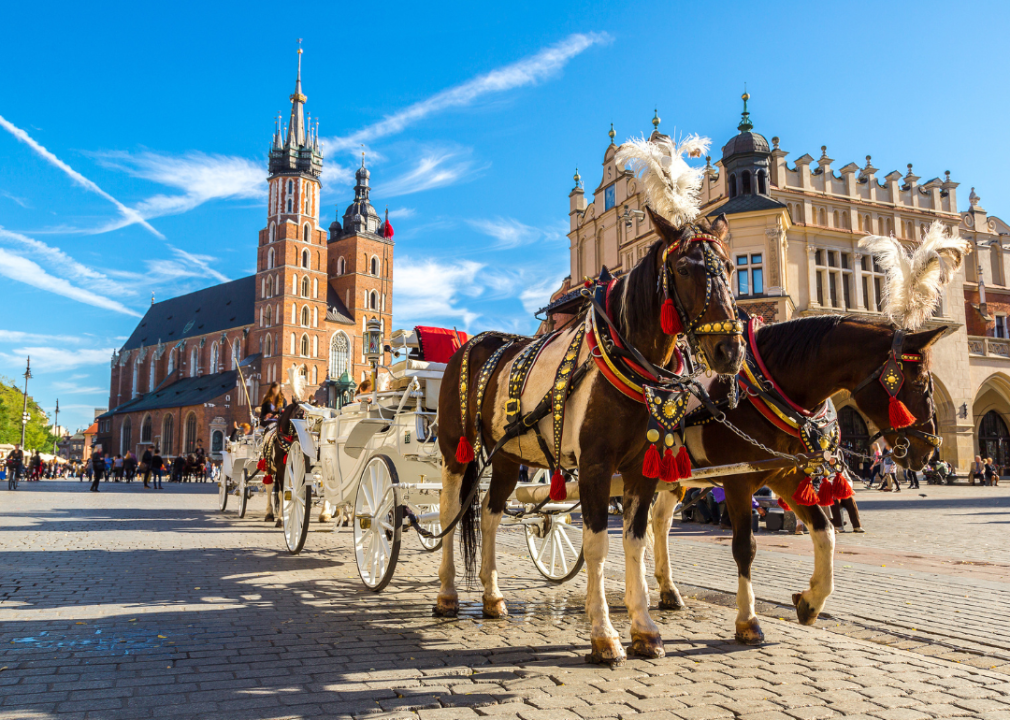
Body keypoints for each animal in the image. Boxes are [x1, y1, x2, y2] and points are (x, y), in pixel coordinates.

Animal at [438, 211, 747, 666]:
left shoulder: (641, 469)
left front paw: (644, 629)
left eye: (730, 268)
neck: (625, 360)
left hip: (508, 456)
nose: (730, 351)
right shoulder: (596, 467)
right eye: (684, 269)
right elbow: (598, 545)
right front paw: (604, 636)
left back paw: (493, 597)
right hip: (454, 449)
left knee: (491, 515)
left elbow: (635, 542)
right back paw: (446, 594)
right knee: (448, 511)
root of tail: (471, 344)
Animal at [654, 317, 945, 642]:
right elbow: (744, 547)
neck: (761, 394)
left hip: (673, 478)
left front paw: (811, 601)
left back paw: (668, 590)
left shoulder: (786, 474)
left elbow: (825, 531)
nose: (930, 449)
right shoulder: (738, 481)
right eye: (920, 383)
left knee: (659, 522)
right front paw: (747, 620)